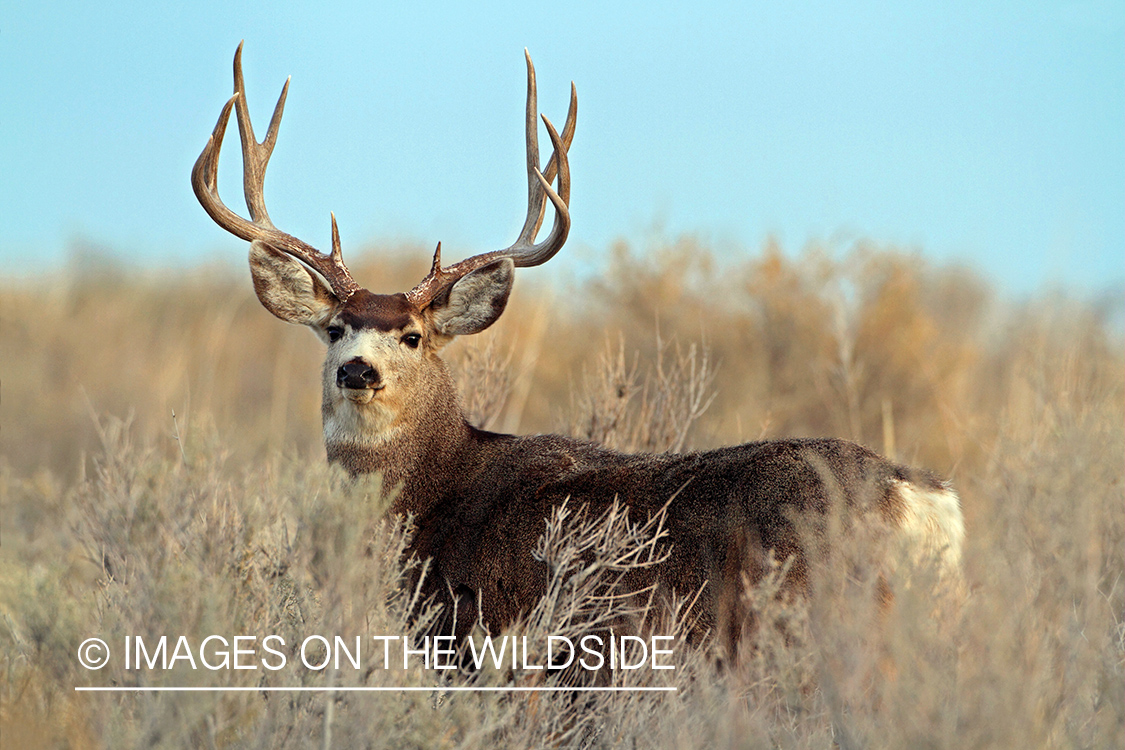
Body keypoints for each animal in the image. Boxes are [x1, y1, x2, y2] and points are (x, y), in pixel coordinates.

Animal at [191, 44, 958, 661]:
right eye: (334, 329)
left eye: (412, 335)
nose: (358, 371)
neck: (433, 495)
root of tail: (912, 493)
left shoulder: (482, 637)